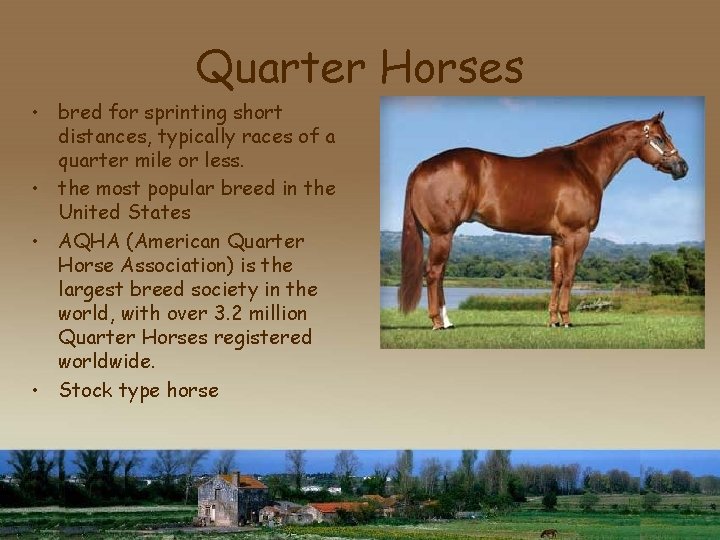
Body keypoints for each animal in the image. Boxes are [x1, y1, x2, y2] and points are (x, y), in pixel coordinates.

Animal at [397, 112, 688, 330]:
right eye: (660, 139)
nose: (682, 167)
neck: (583, 168)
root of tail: (422, 166)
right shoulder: (576, 234)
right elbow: (570, 276)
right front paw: (567, 320)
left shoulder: (557, 237)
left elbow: (556, 276)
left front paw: (552, 320)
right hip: (442, 234)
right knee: (433, 274)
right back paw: (437, 322)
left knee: (439, 275)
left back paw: (447, 321)